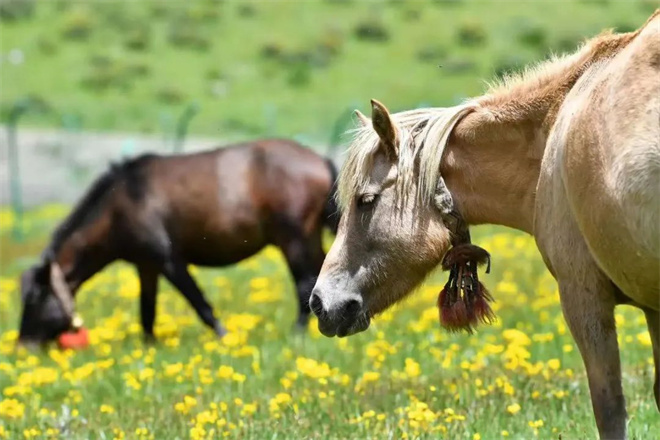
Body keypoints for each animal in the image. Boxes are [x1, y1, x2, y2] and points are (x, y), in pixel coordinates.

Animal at [18, 139, 338, 346]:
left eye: (34, 298)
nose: (23, 344)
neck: (121, 204)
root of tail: (320, 160)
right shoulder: (146, 266)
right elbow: (147, 311)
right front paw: (148, 346)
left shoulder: (169, 260)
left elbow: (199, 304)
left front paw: (224, 337)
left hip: (294, 239)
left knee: (304, 283)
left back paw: (297, 334)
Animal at [310, 10, 660, 440]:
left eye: (365, 200)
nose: (319, 302)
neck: (553, 128)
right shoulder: (652, 306)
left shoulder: (583, 295)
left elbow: (609, 408)